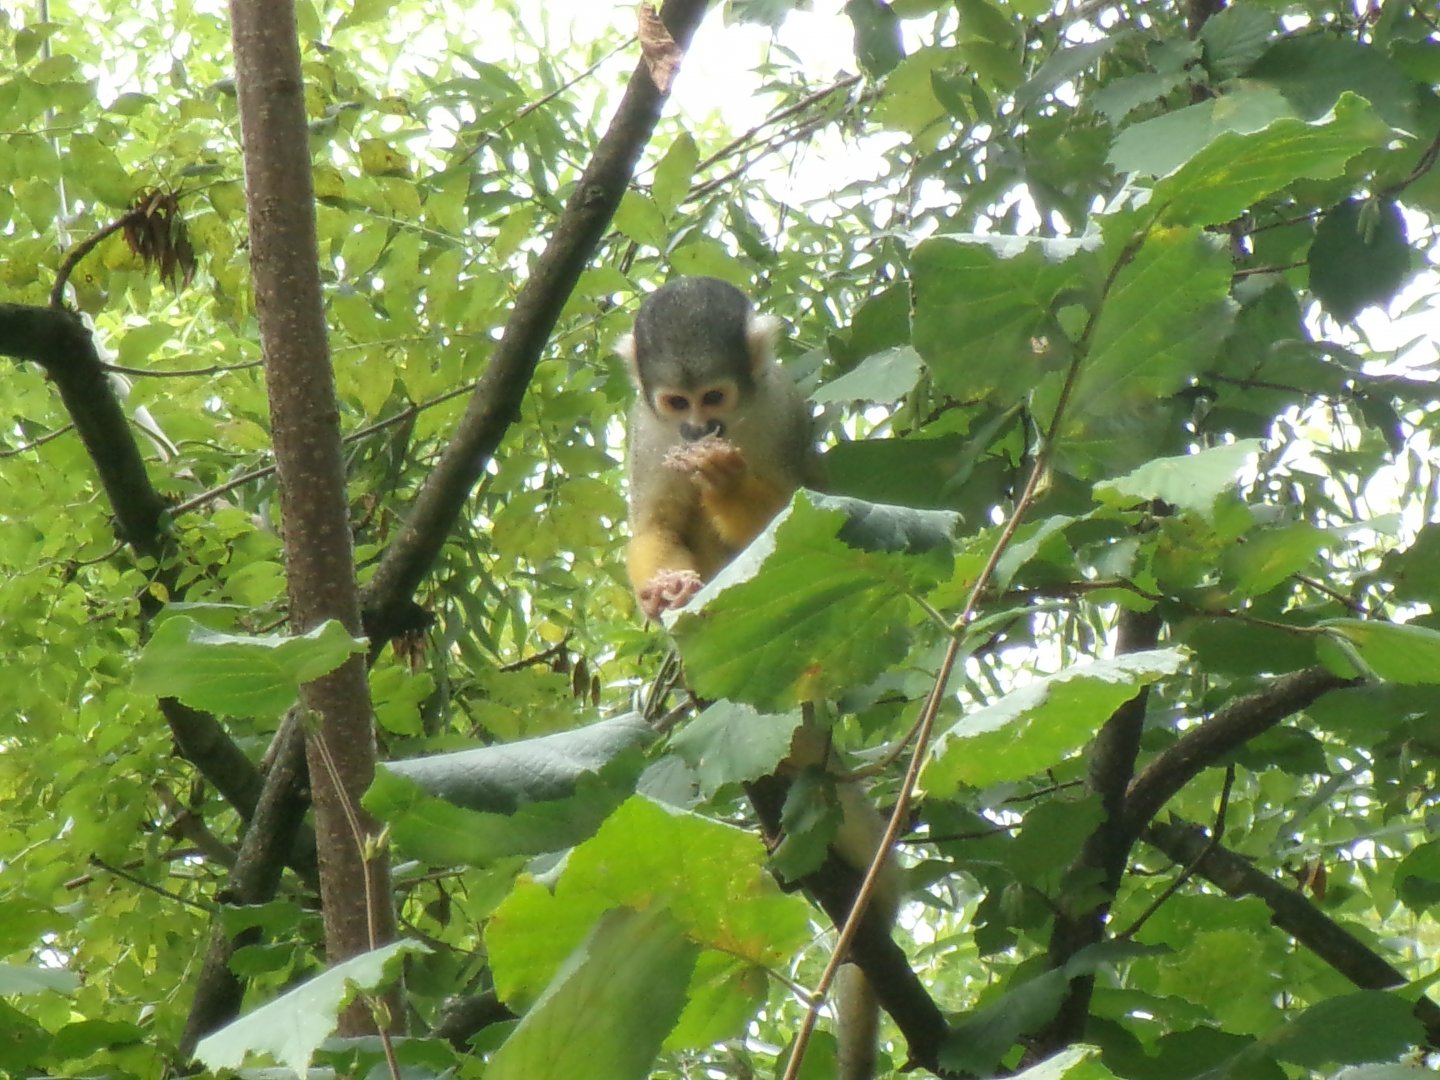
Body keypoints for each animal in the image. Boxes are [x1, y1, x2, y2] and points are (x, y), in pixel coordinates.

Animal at [618, 276, 900, 1080]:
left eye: (714, 396)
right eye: (676, 403)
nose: (697, 433)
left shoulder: (783, 409)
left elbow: (796, 528)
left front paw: (728, 476)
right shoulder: (645, 433)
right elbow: (655, 525)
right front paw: (662, 589)